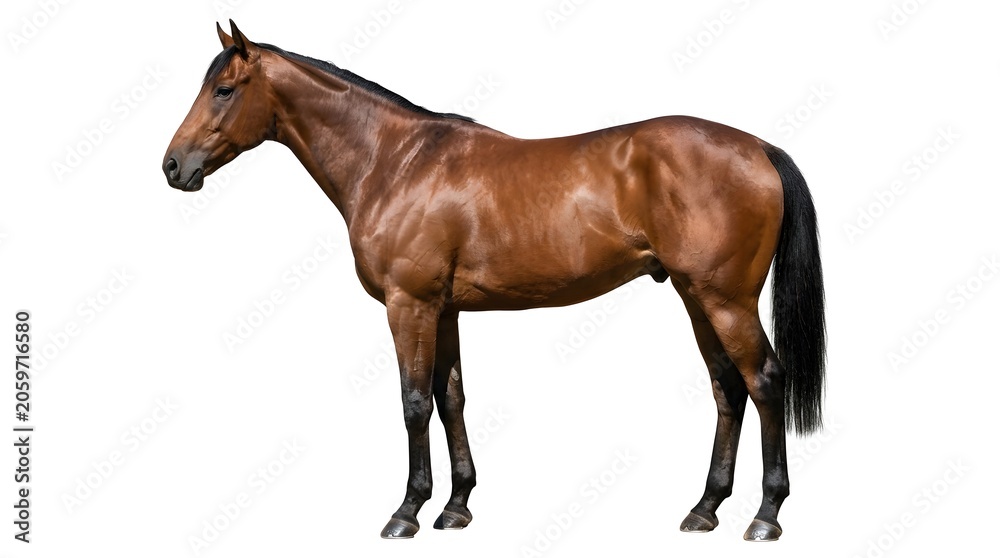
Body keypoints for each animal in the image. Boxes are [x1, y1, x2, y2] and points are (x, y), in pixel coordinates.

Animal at [163, 20, 825, 542]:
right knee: (727, 389)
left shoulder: (408, 305)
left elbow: (412, 402)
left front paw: (407, 511)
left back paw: (765, 516)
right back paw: (704, 508)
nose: (173, 166)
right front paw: (456, 506)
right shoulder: (444, 309)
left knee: (765, 382)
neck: (395, 162)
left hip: (726, 300)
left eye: (224, 90)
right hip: (696, 297)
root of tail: (759, 147)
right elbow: (449, 398)